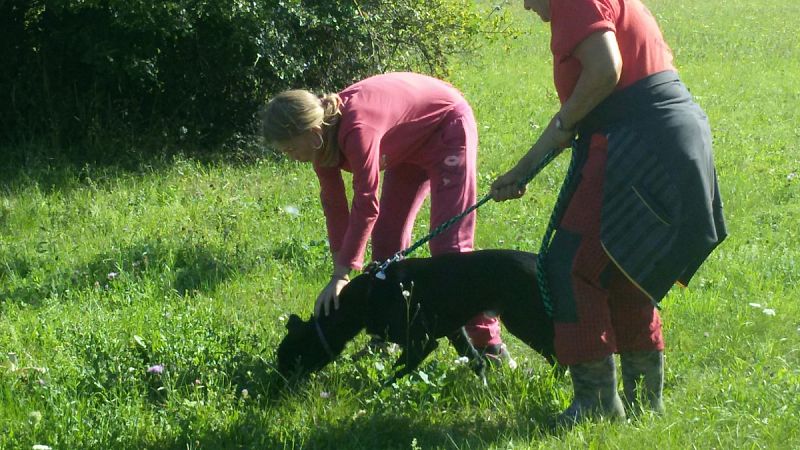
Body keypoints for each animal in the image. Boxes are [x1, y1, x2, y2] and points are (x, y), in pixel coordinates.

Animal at [276, 250, 556, 384]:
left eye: (290, 361)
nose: (277, 388)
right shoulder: (454, 331)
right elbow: (477, 361)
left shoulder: (422, 341)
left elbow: (398, 370)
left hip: (526, 323)